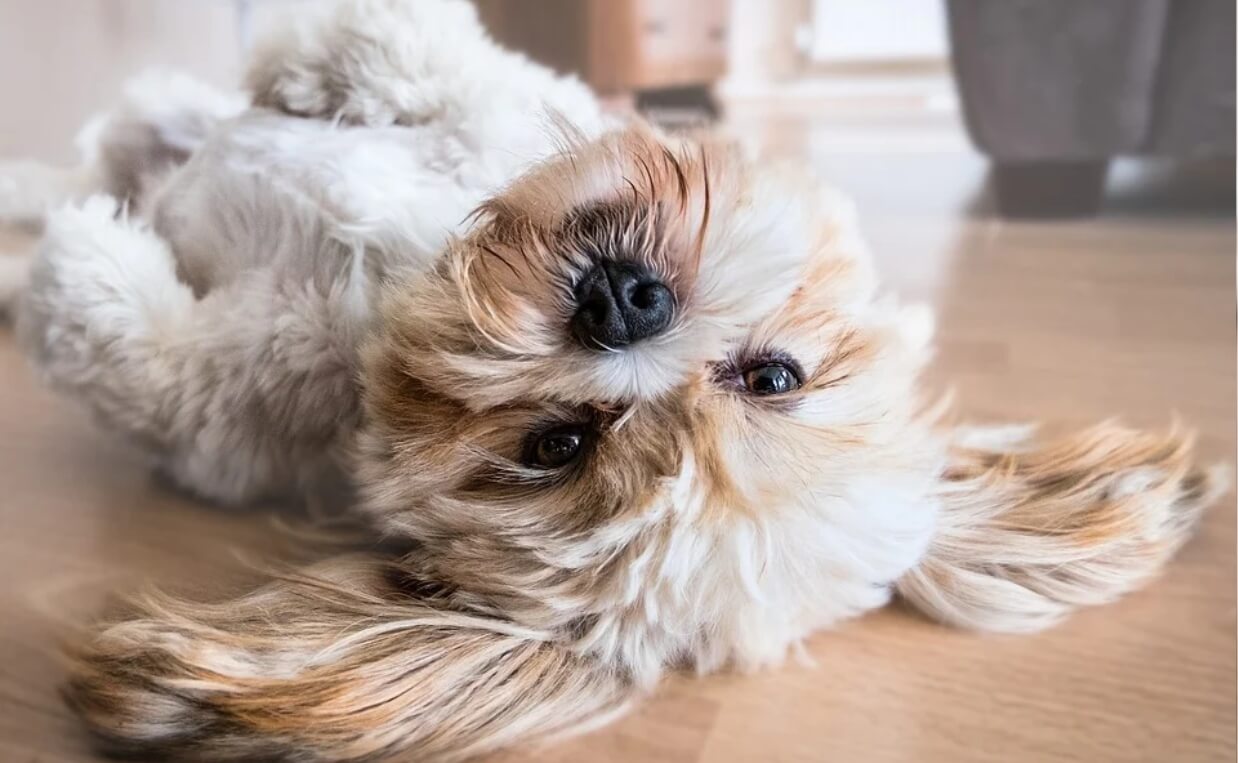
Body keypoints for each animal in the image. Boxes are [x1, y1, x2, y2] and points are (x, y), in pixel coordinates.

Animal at [0, 1, 1223, 763]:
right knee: (109, 139)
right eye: (772, 375)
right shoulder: (500, 107)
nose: (622, 304)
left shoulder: (228, 419)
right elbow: (428, 64)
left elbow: (143, 356)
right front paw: (316, 64)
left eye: (556, 445)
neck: (401, 277)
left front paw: (81, 267)